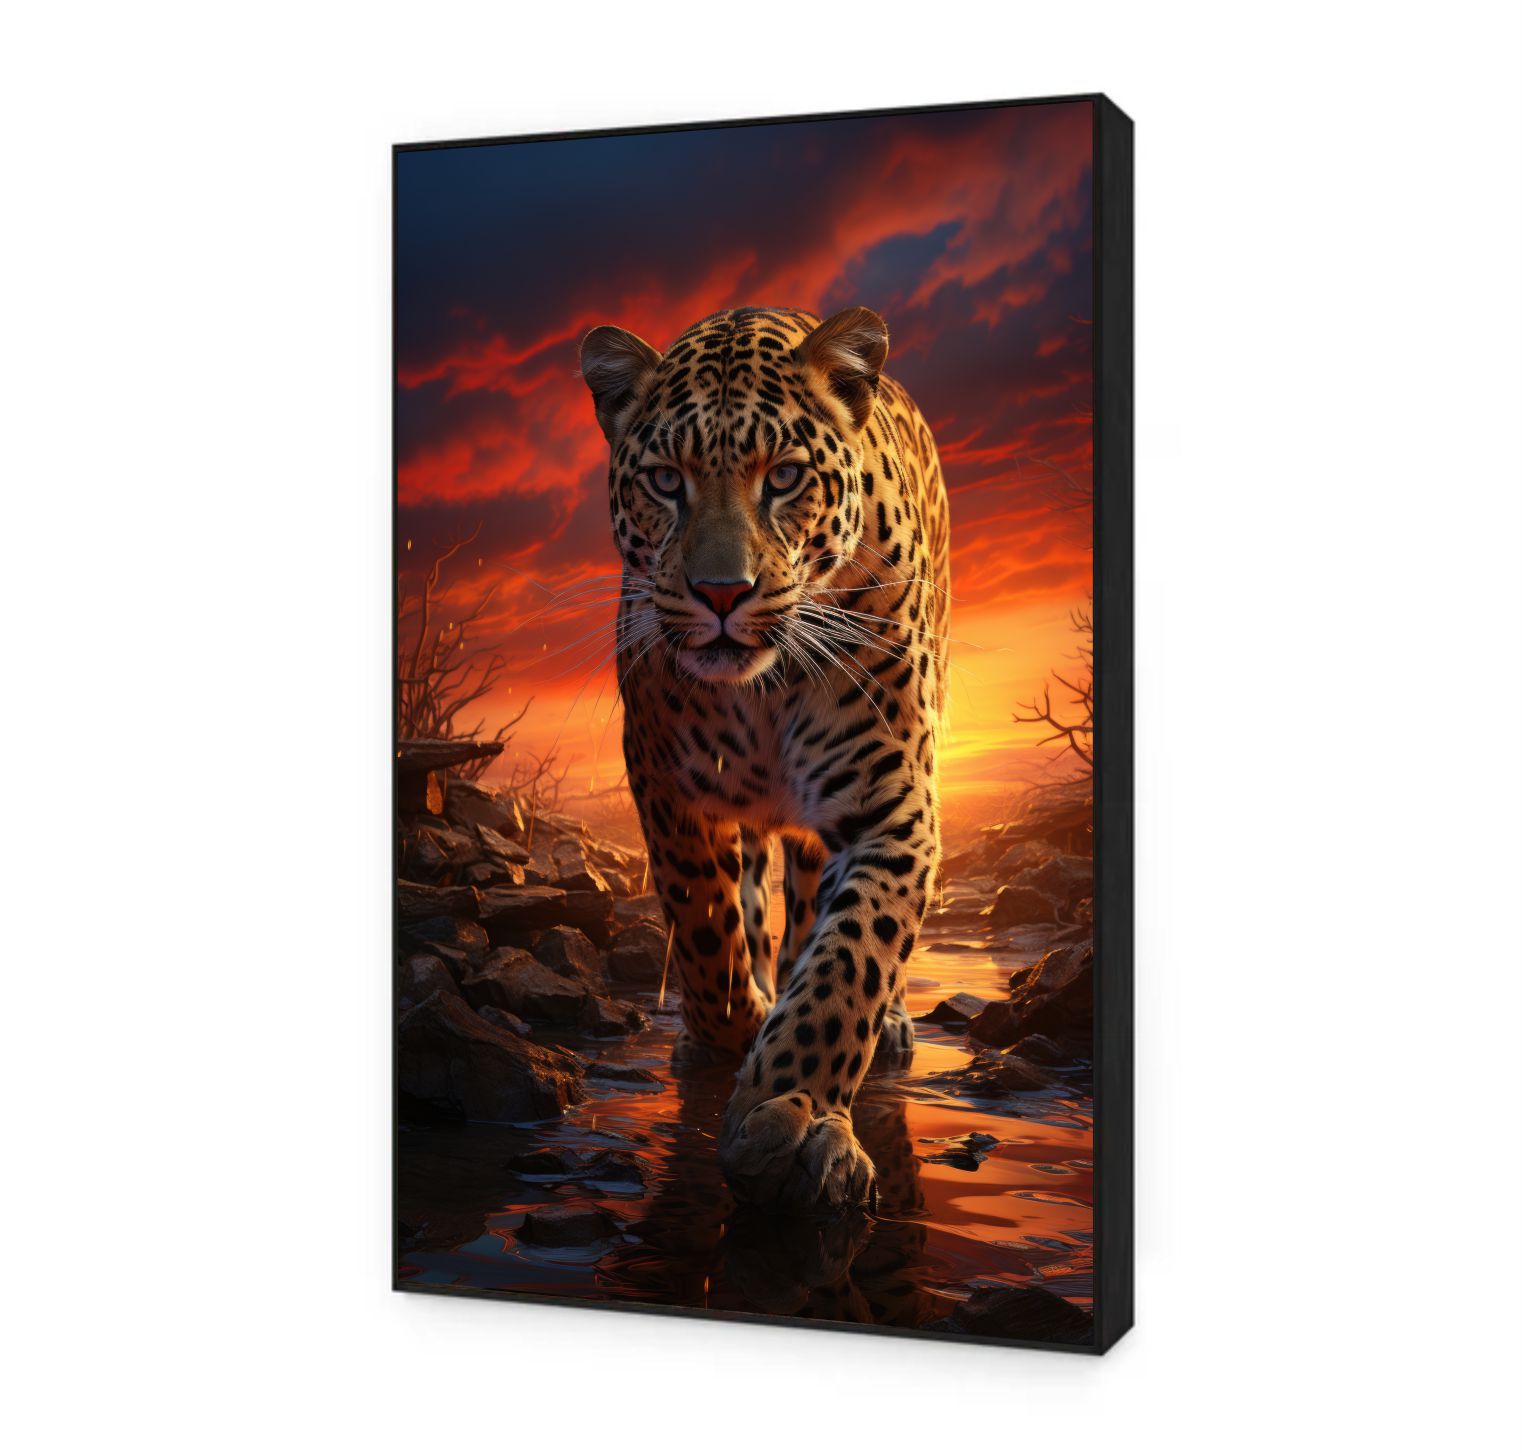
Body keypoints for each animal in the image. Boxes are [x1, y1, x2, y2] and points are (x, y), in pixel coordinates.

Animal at [578, 305, 949, 1215]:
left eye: (783, 478)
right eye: (665, 481)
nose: (722, 592)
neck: (766, 691)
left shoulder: (890, 806)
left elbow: (849, 959)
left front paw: (791, 1111)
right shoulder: (667, 782)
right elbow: (705, 926)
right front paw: (731, 1032)